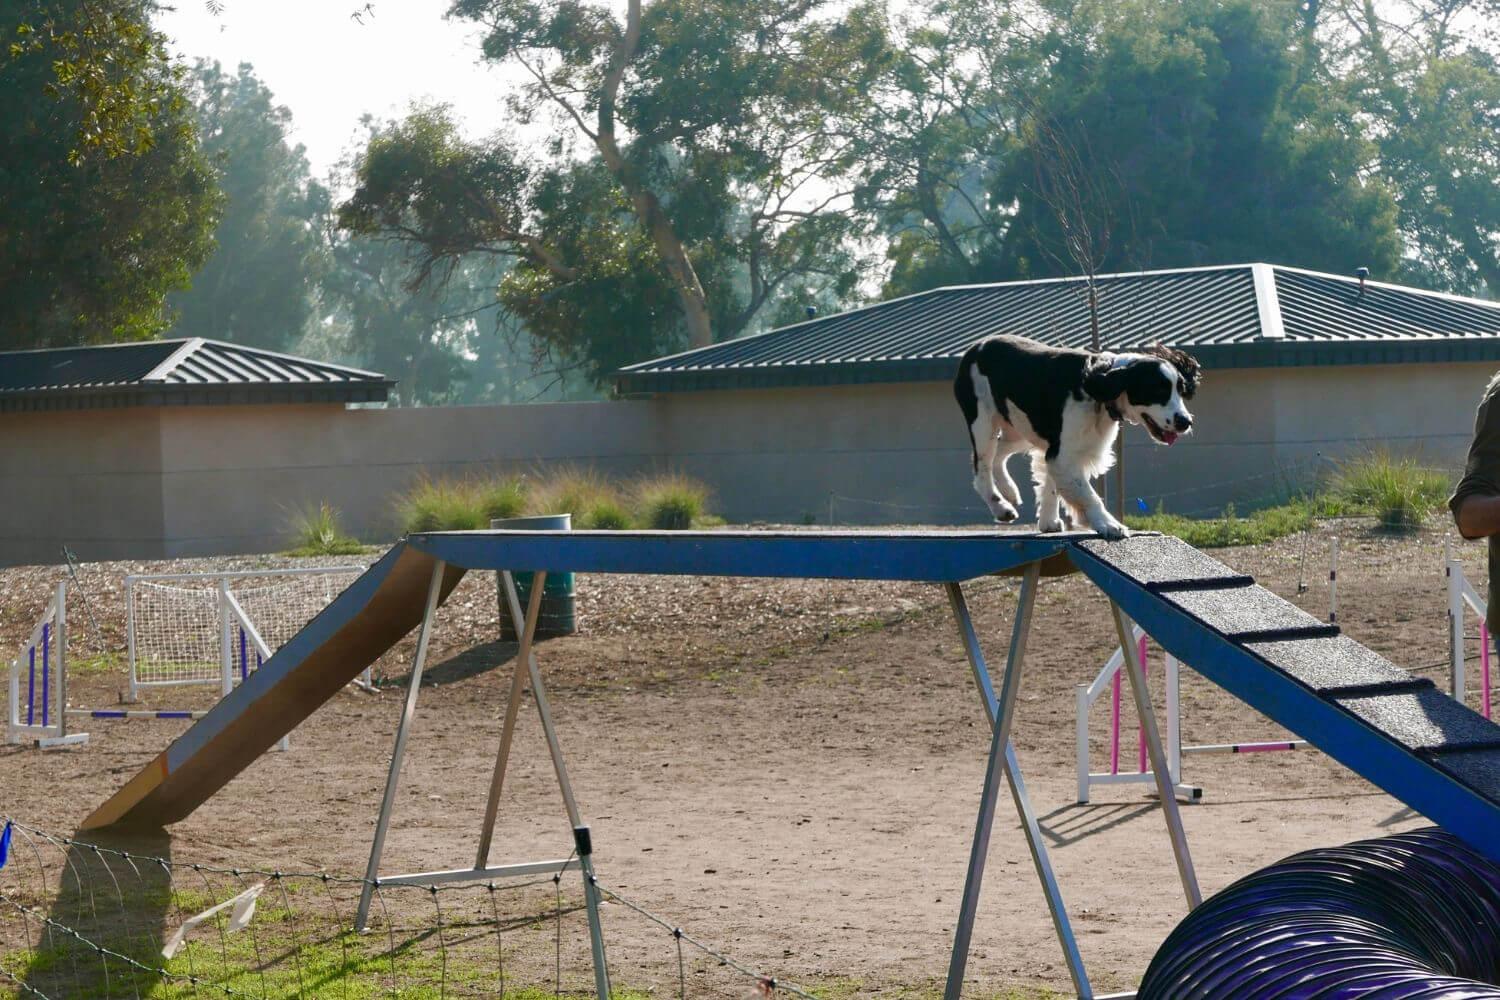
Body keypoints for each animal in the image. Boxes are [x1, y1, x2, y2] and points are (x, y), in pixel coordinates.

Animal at [954, 334, 1200, 539]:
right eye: (1158, 391)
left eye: (1181, 390)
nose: (1185, 422)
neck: (1101, 384)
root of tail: (975, 347)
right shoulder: (1062, 453)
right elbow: (1087, 494)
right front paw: (1109, 524)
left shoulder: (1057, 450)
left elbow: (1052, 484)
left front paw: (1049, 522)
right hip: (982, 422)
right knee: (982, 468)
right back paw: (1002, 507)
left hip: (1018, 429)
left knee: (999, 453)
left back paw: (1010, 491)